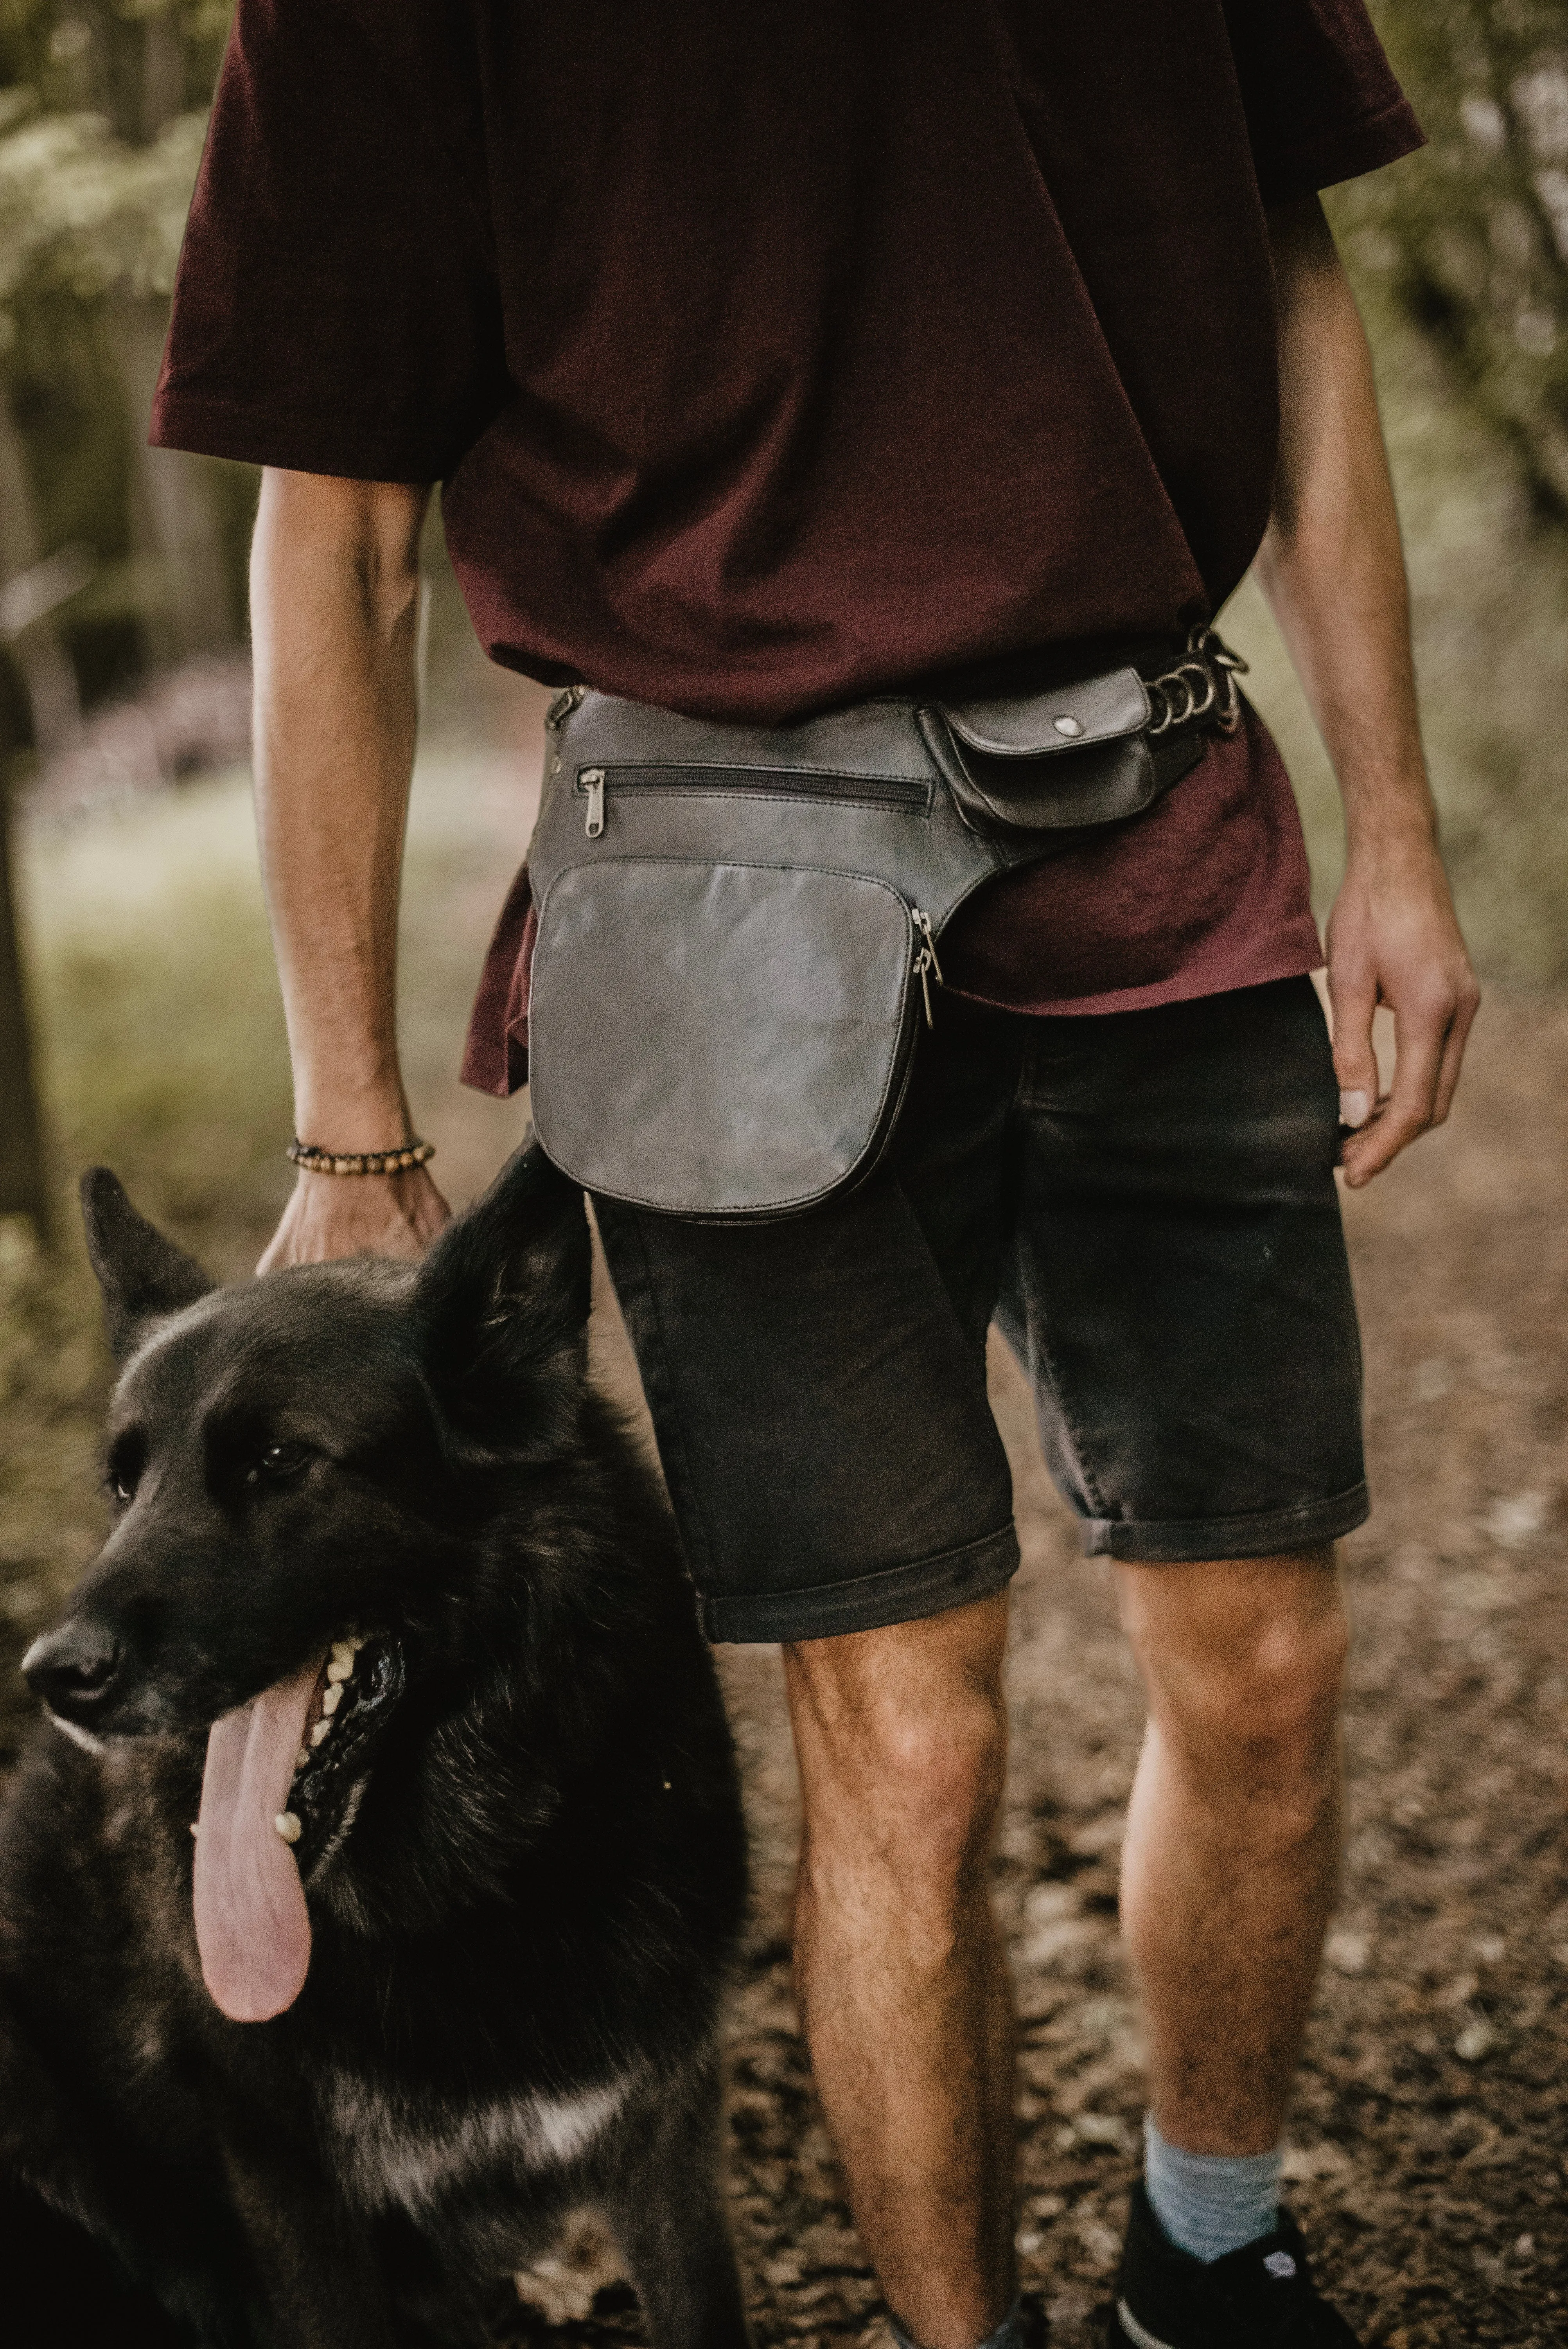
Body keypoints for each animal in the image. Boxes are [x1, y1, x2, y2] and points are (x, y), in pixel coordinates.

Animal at [1, 1151, 746, 2349]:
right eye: (123, 1483)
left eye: (277, 1459)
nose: (54, 1673)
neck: (469, 1879)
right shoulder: (292, 2193)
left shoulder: (666, 2137)